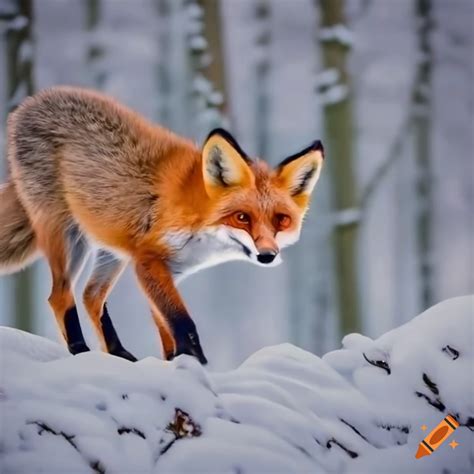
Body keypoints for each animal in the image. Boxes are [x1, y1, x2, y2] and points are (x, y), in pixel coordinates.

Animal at [0, 87, 324, 364]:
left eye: (281, 220)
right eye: (242, 217)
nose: (267, 255)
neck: (199, 220)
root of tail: (31, 101)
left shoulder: (168, 270)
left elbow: (166, 327)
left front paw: (173, 362)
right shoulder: (148, 261)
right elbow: (183, 323)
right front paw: (197, 366)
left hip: (112, 251)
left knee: (91, 296)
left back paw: (118, 354)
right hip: (69, 239)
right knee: (60, 297)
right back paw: (80, 351)